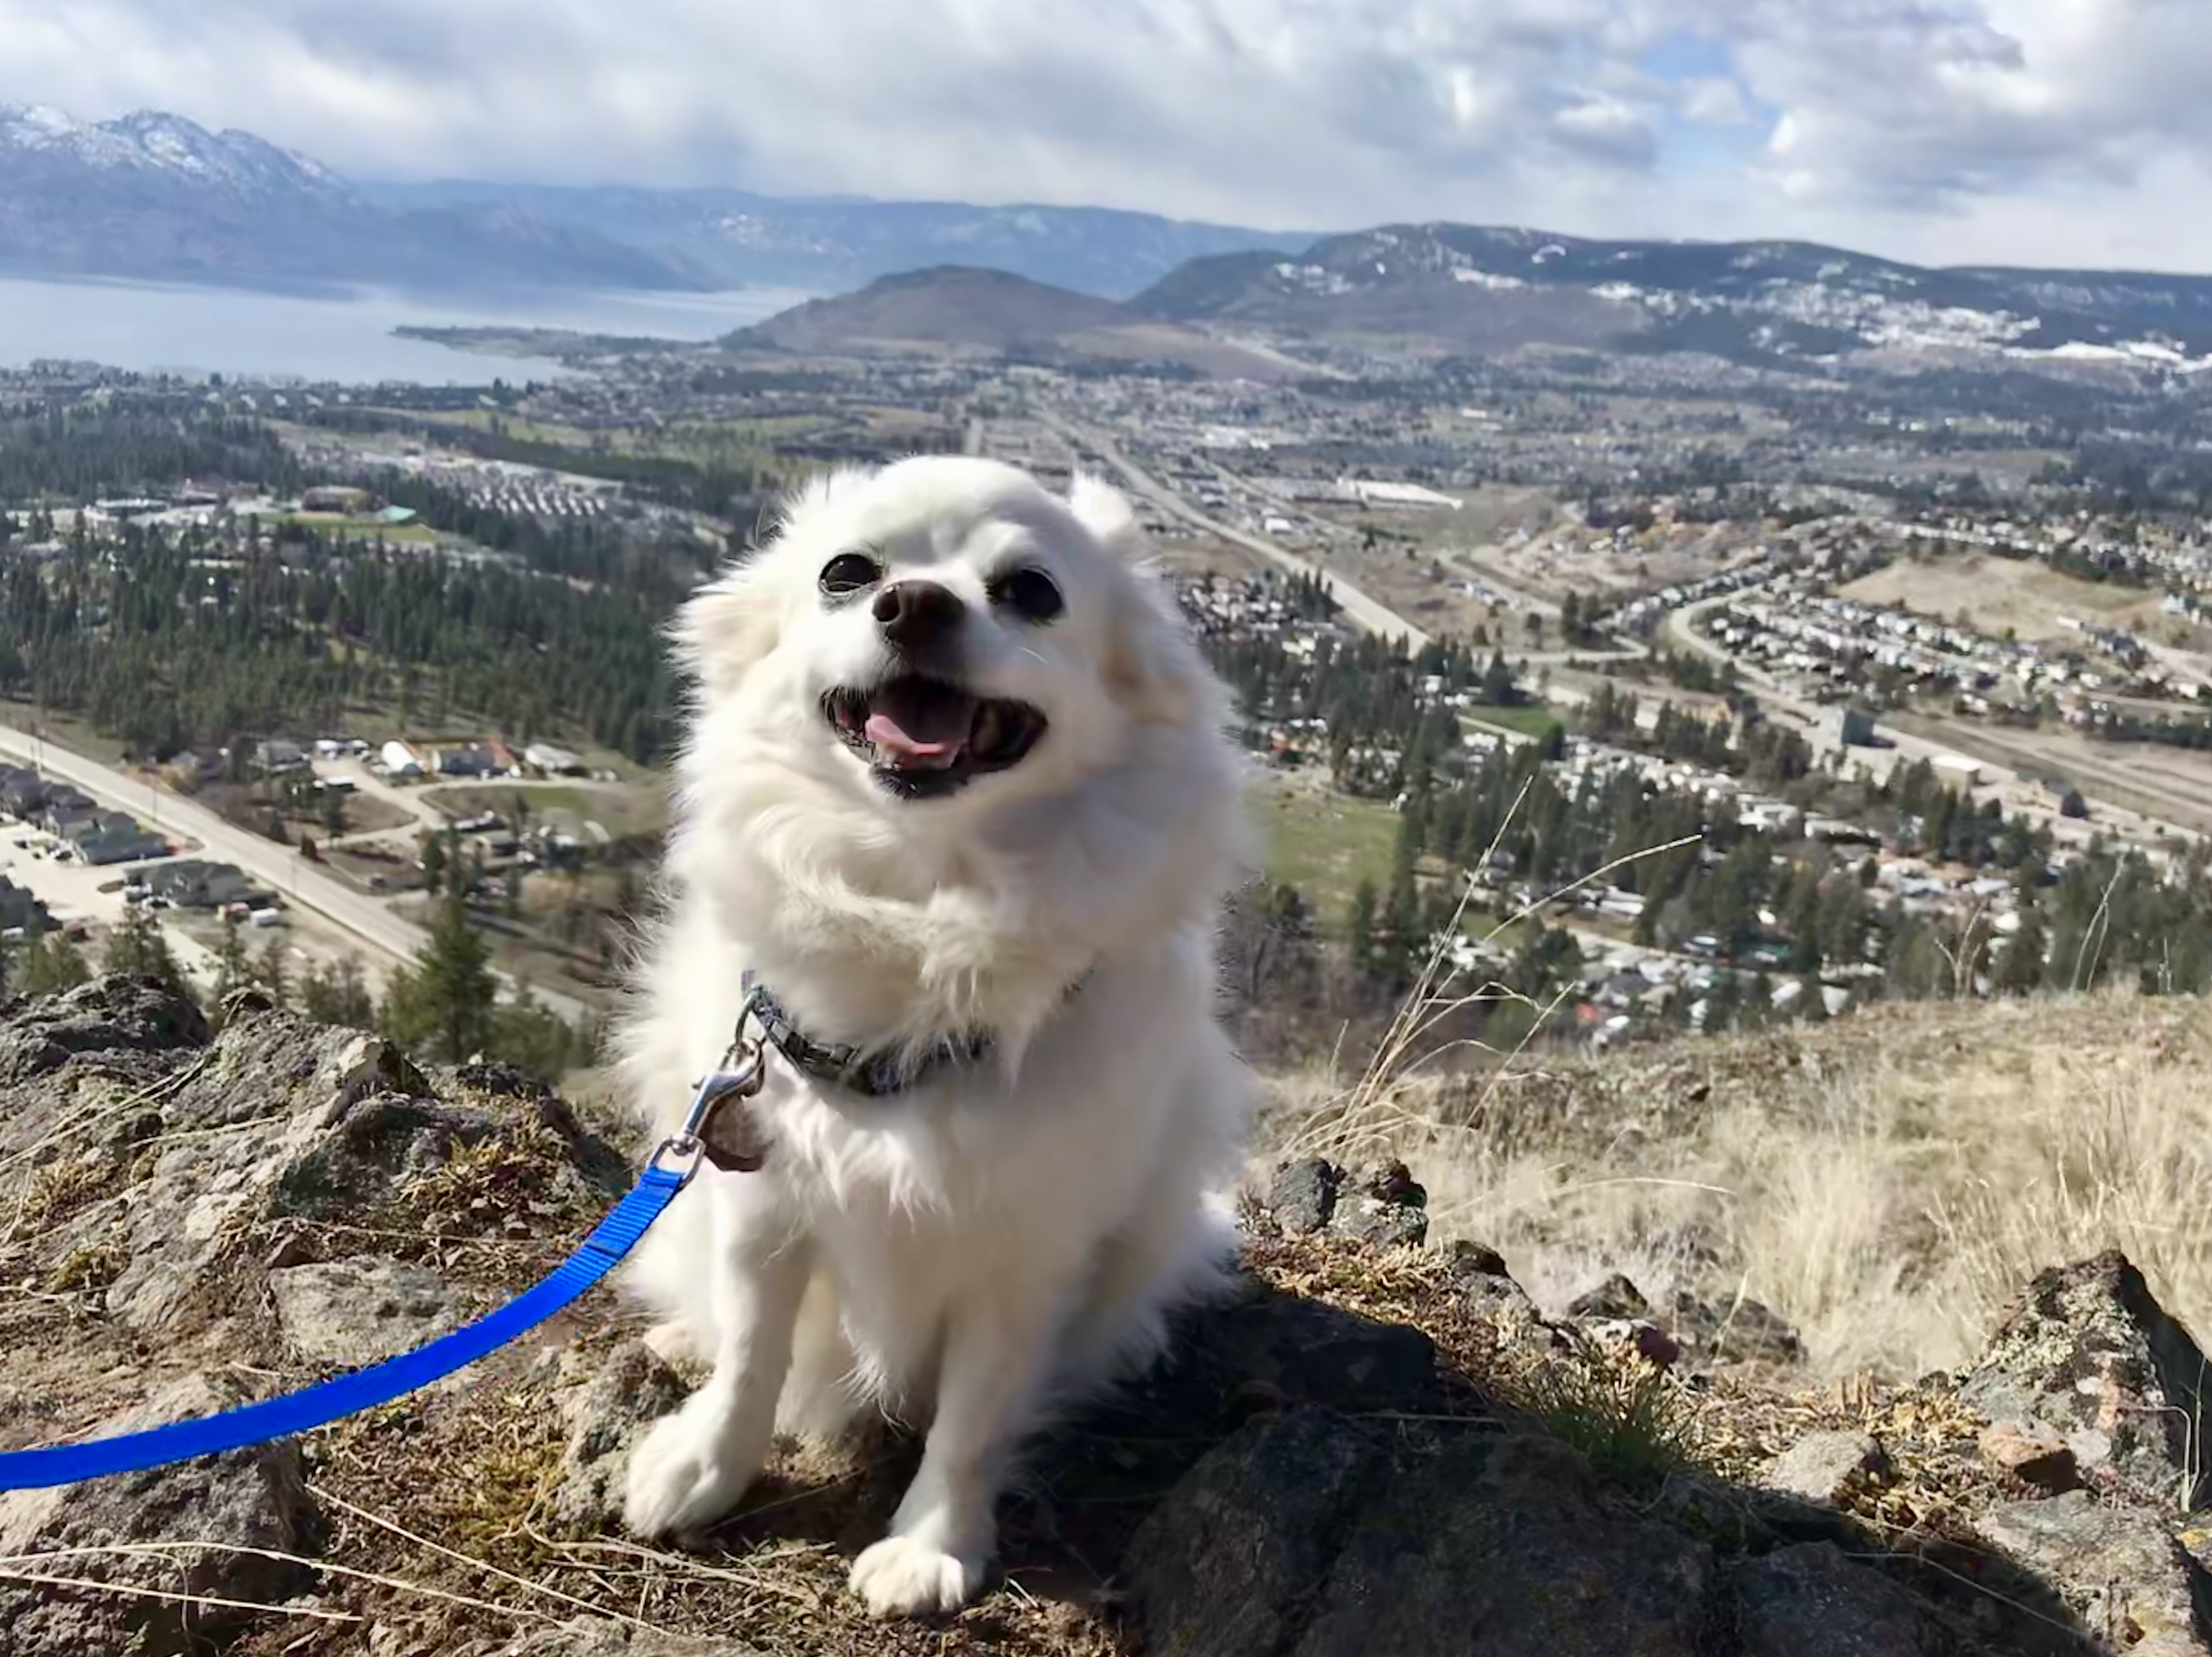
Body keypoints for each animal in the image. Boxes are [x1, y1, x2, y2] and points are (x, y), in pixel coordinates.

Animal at [615, 454, 1256, 1619]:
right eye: (846, 572)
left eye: (1032, 591)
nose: (913, 603)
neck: (923, 906)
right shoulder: (764, 1201)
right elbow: (751, 1356)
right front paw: (703, 1466)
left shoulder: (1024, 1253)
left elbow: (971, 1416)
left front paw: (931, 1545)